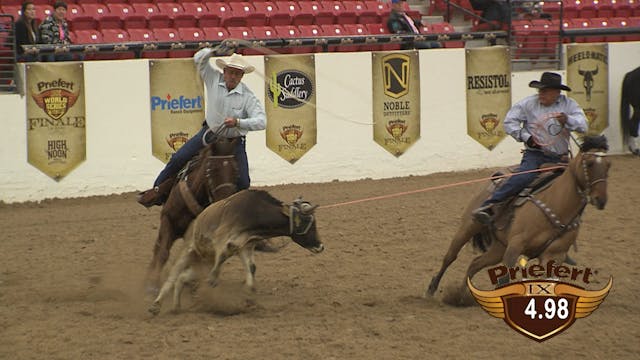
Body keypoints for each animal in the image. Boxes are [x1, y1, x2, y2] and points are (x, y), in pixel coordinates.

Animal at [145, 136, 240, 292]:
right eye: (211, 169)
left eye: (236, 170)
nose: (226, 201)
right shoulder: (167, 219)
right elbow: (163, 252)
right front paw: (152, 285)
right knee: (158, 247)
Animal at [424, 136, 608, 302]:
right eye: (590, 164)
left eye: (608, 166)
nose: (601, 200)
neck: (557, 204)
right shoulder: (515, 246)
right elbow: (505, 278)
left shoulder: (554, 255)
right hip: (469, 226)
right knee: (450, 257)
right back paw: (431, 290)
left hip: (498, 247)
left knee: (475, 263)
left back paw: (461, 296)